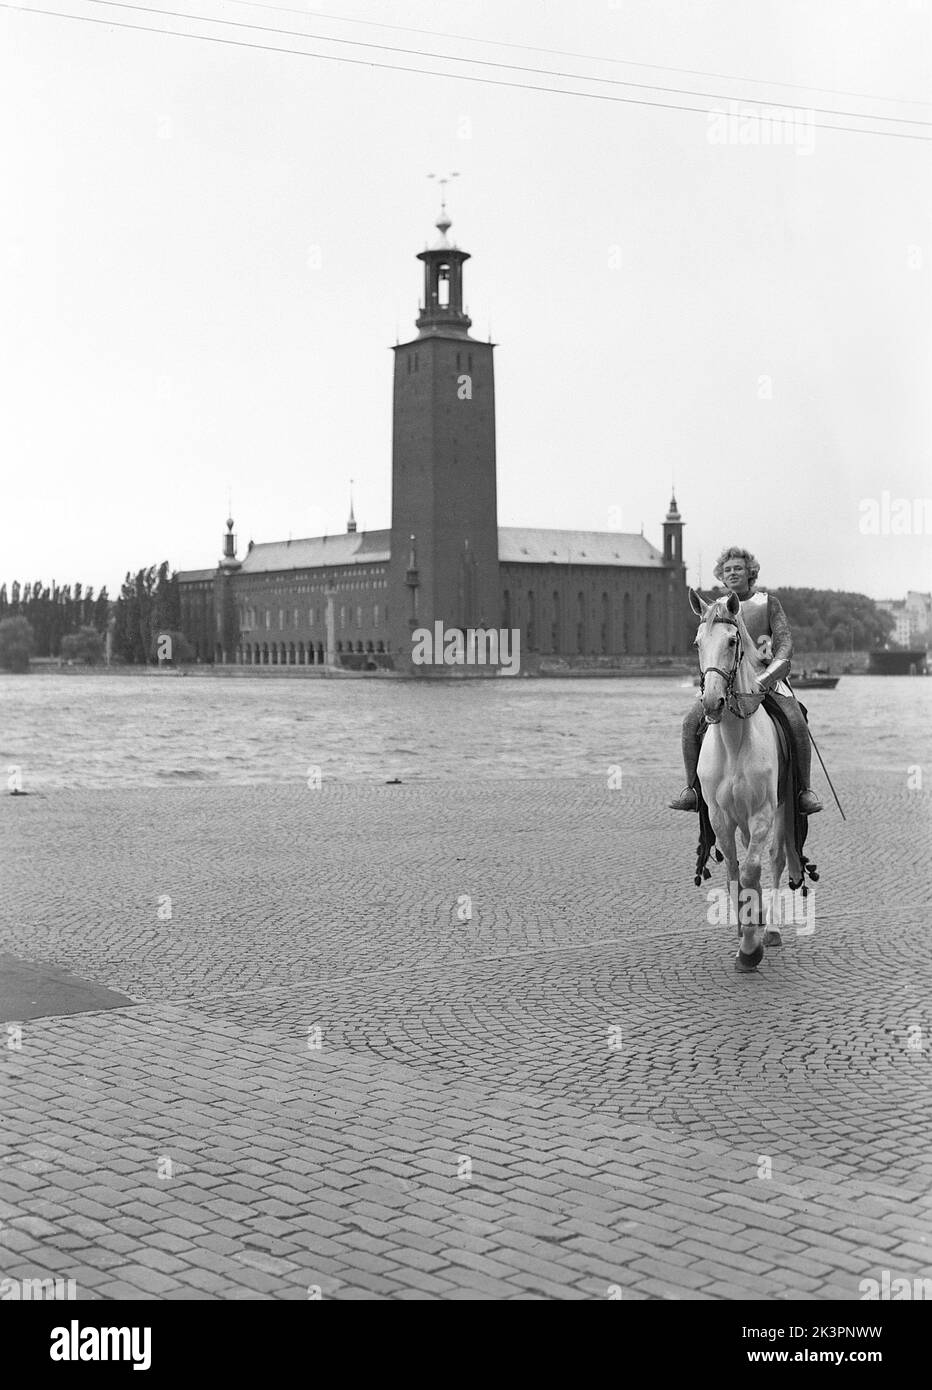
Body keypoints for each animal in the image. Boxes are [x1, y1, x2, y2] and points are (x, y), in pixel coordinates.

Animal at [688, 583, 800, 967]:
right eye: (697, 642)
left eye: (733, 640)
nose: (711, 702)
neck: (734, 739)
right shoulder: (720, 815)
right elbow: (735, 868)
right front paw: (741, 927)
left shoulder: (762, 812)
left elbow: (753, 869)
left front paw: (751, 948)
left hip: (783, 809)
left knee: (777, 859)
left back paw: (771, 929)